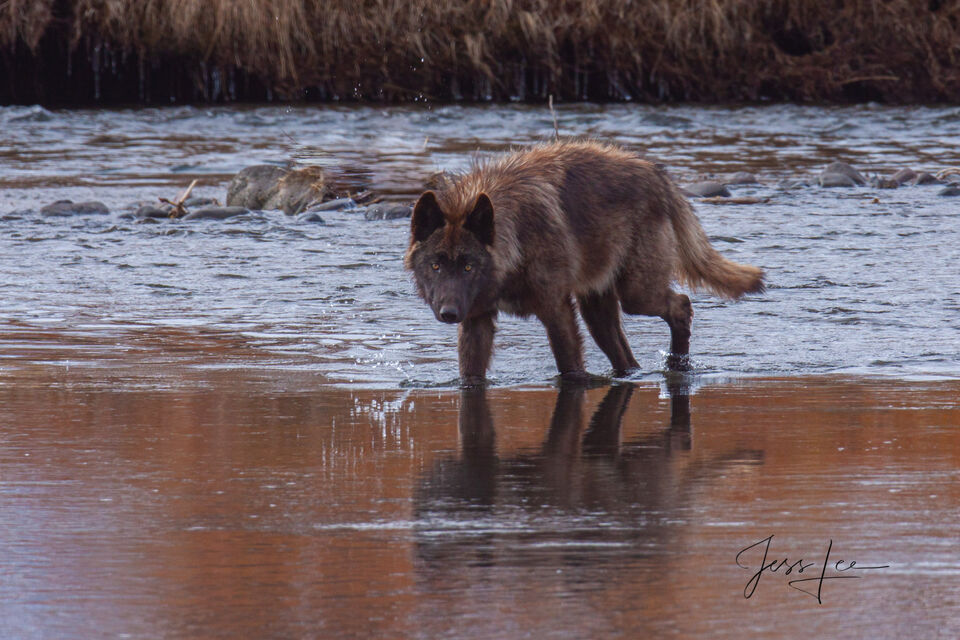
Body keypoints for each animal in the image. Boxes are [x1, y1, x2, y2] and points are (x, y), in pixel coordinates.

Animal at [404, 140, 764, 384]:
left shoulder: (557, 310)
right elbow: (471, 377)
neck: (515, 241)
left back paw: (677, 366)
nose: (448, 313)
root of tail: (657, 173)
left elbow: (571, 368)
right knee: (627, 358)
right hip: (597, 312)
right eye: (436, 266)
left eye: (468, 267)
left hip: (637, 296)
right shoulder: (477, 320)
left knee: (682, 304)